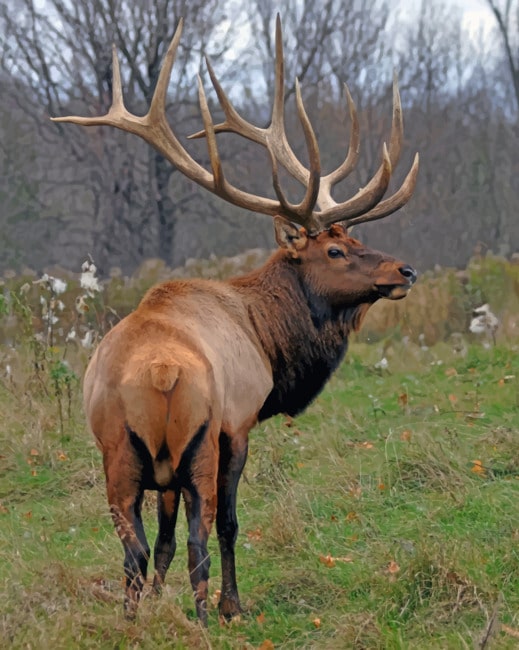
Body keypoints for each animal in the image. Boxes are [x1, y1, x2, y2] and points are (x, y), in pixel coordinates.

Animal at [52, 15, 419, 625]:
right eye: (335, 251)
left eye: (354, 239)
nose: (404, 269)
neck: (266, 336)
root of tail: (161, 373)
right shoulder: (240, 422)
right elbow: (225, 524)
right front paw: (232, 606)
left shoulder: (163, 472)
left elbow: (164, 539)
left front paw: (160, 601)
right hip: (201, 442)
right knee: (202, 533)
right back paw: (208, 617)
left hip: (118, 450)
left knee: (135, 545)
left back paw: (133, 619)